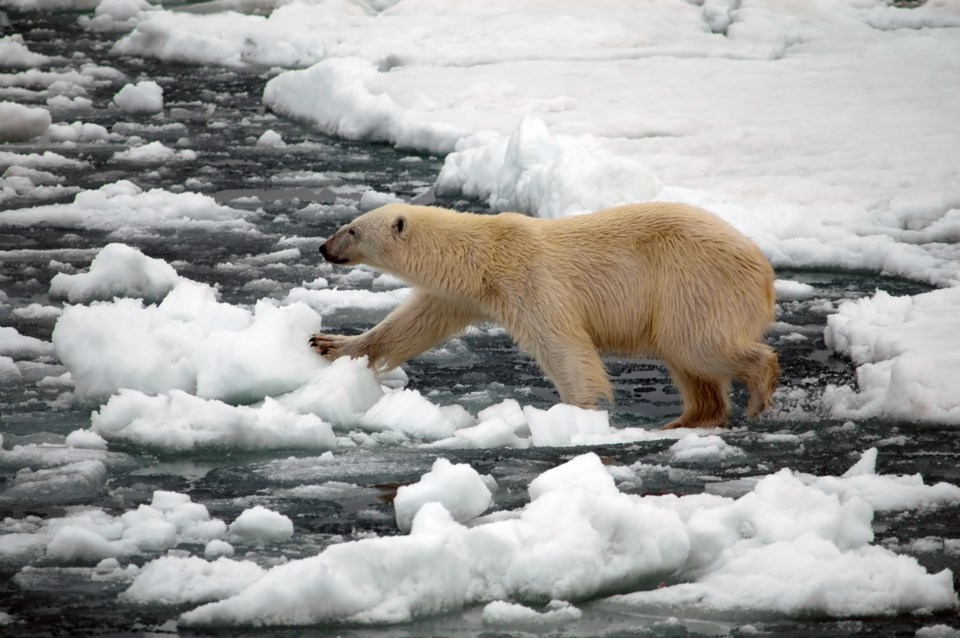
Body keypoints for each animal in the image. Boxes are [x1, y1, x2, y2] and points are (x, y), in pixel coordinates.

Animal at [312, 205, 776, 430]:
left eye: (352, 229)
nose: (323, 247)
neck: (484, 255)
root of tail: (765, 270)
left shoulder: (527, 278)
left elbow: (563, 345)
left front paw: (576, 414)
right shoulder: (464, 294)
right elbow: (412, 324)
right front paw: (330, 343)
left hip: (693, 282)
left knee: (697, 345)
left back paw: (757, 391)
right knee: (689, 362)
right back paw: (686, 419)